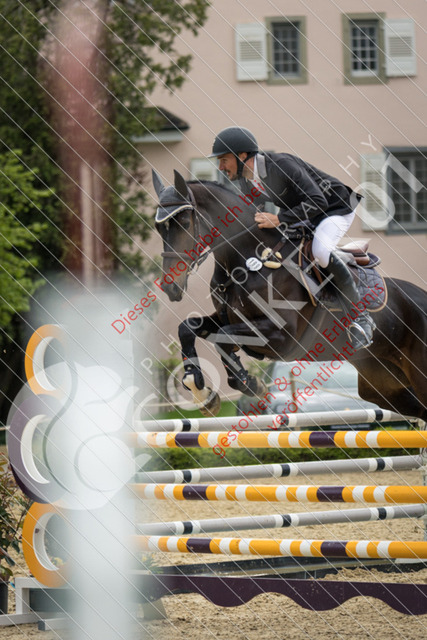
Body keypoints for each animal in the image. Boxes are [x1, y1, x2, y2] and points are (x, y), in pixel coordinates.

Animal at [153, 169, 427, 421]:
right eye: (158, 228)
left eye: (184, 222)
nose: (170, 286)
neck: (248, 264)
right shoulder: (228, 317)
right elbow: (188, 328)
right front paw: (199, 388)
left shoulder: (282, 336)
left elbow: (223, 339)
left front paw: (250, 384)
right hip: (383, 385)